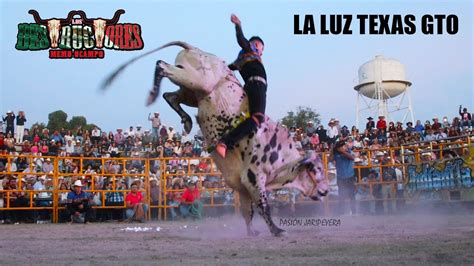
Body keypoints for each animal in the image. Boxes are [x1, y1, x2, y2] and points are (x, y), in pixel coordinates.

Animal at [102, 41, 328, 237]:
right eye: (317, 169)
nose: (327, 190)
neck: (281, 155)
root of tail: (196, 49)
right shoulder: (254, 178)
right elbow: (264, 207)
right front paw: (277, 230)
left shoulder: (242, 185)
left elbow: (248, 211)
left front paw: (252, 232)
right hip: (196, 79)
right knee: (162, 66)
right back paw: (155, 92)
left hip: (191, 91)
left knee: (171, 95)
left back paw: (185, 120)